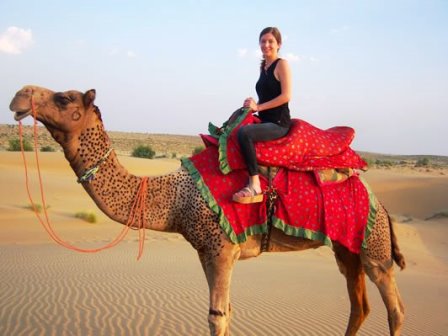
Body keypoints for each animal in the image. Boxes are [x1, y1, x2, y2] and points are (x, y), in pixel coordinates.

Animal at [9, 86, 406, 336]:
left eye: (64, 97)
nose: (18, 96)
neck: (174, 200)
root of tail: (380, 201)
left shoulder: (221, 249)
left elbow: (217, 318)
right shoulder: (206, 252)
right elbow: (225, 312)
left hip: (373, 244)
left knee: (394, 308)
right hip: (346, 248)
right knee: (359, 306)